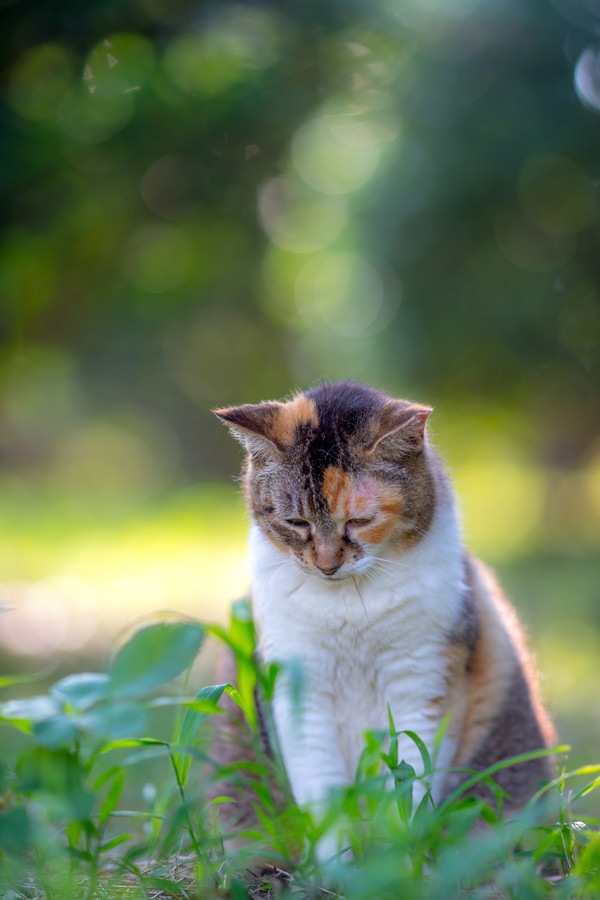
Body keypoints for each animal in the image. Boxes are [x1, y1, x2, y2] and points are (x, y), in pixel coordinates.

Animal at [213, 380, 556, 856]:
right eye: (296, 522)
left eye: (359, 520)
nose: (326, 565)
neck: (348, 607)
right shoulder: (299, 688)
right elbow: (323, 794)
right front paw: (337, 863)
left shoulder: (423, 681)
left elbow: (409, 782)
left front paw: (395, 857)